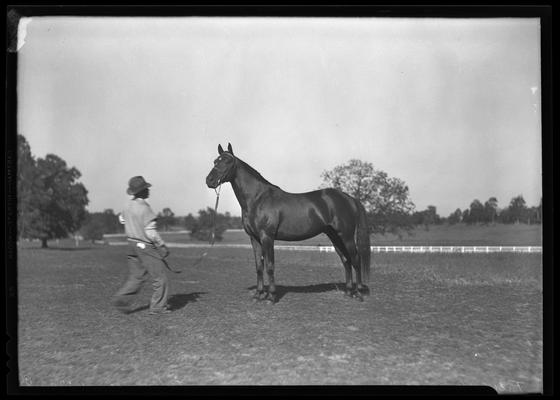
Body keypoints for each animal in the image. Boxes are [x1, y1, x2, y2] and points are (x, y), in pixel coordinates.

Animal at [206, 144, 372, 304]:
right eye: (215, 161)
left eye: (227, 161)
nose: (209, 181)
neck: (258, 199)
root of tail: (349, 198)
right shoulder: (254, 238)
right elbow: (259, 267)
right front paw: (258, 295)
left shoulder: (267, 237)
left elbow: (270, 266)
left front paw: (271, 297)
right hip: (334, 236)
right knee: (346, 260)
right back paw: (349, 292)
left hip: (346, 236)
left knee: (355, 259)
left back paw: (358, 293)